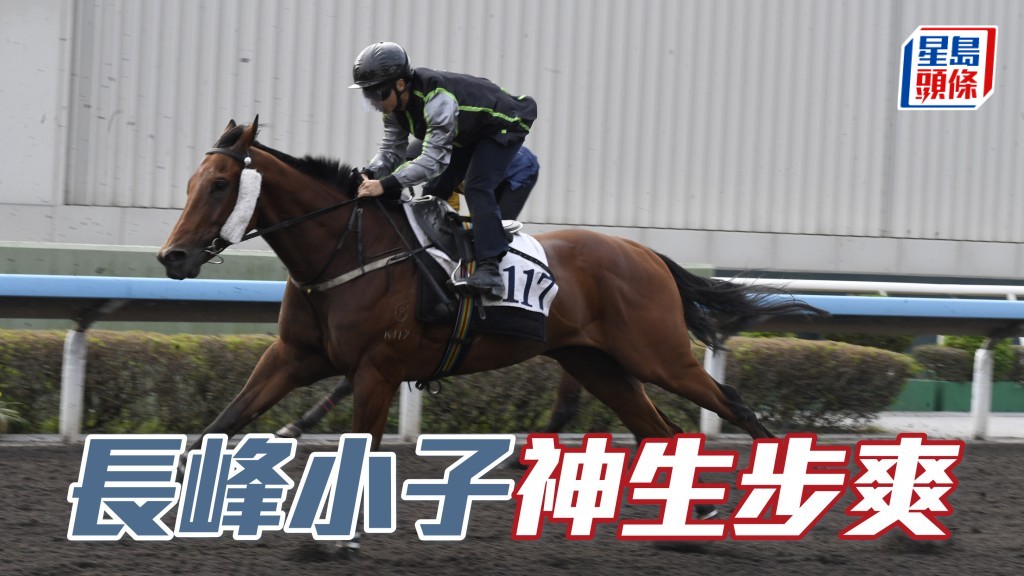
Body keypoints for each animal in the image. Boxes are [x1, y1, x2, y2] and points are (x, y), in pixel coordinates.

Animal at [158, 117, 824, 489]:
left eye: (220, 184)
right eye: (190, 184)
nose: (172, 257)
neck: (345, 252)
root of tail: (645, 253)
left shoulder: (377, 369)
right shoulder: (292, 357)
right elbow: (219, 426)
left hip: (659, 355)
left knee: (732, 404)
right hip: (597, 364)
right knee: (659, 429)